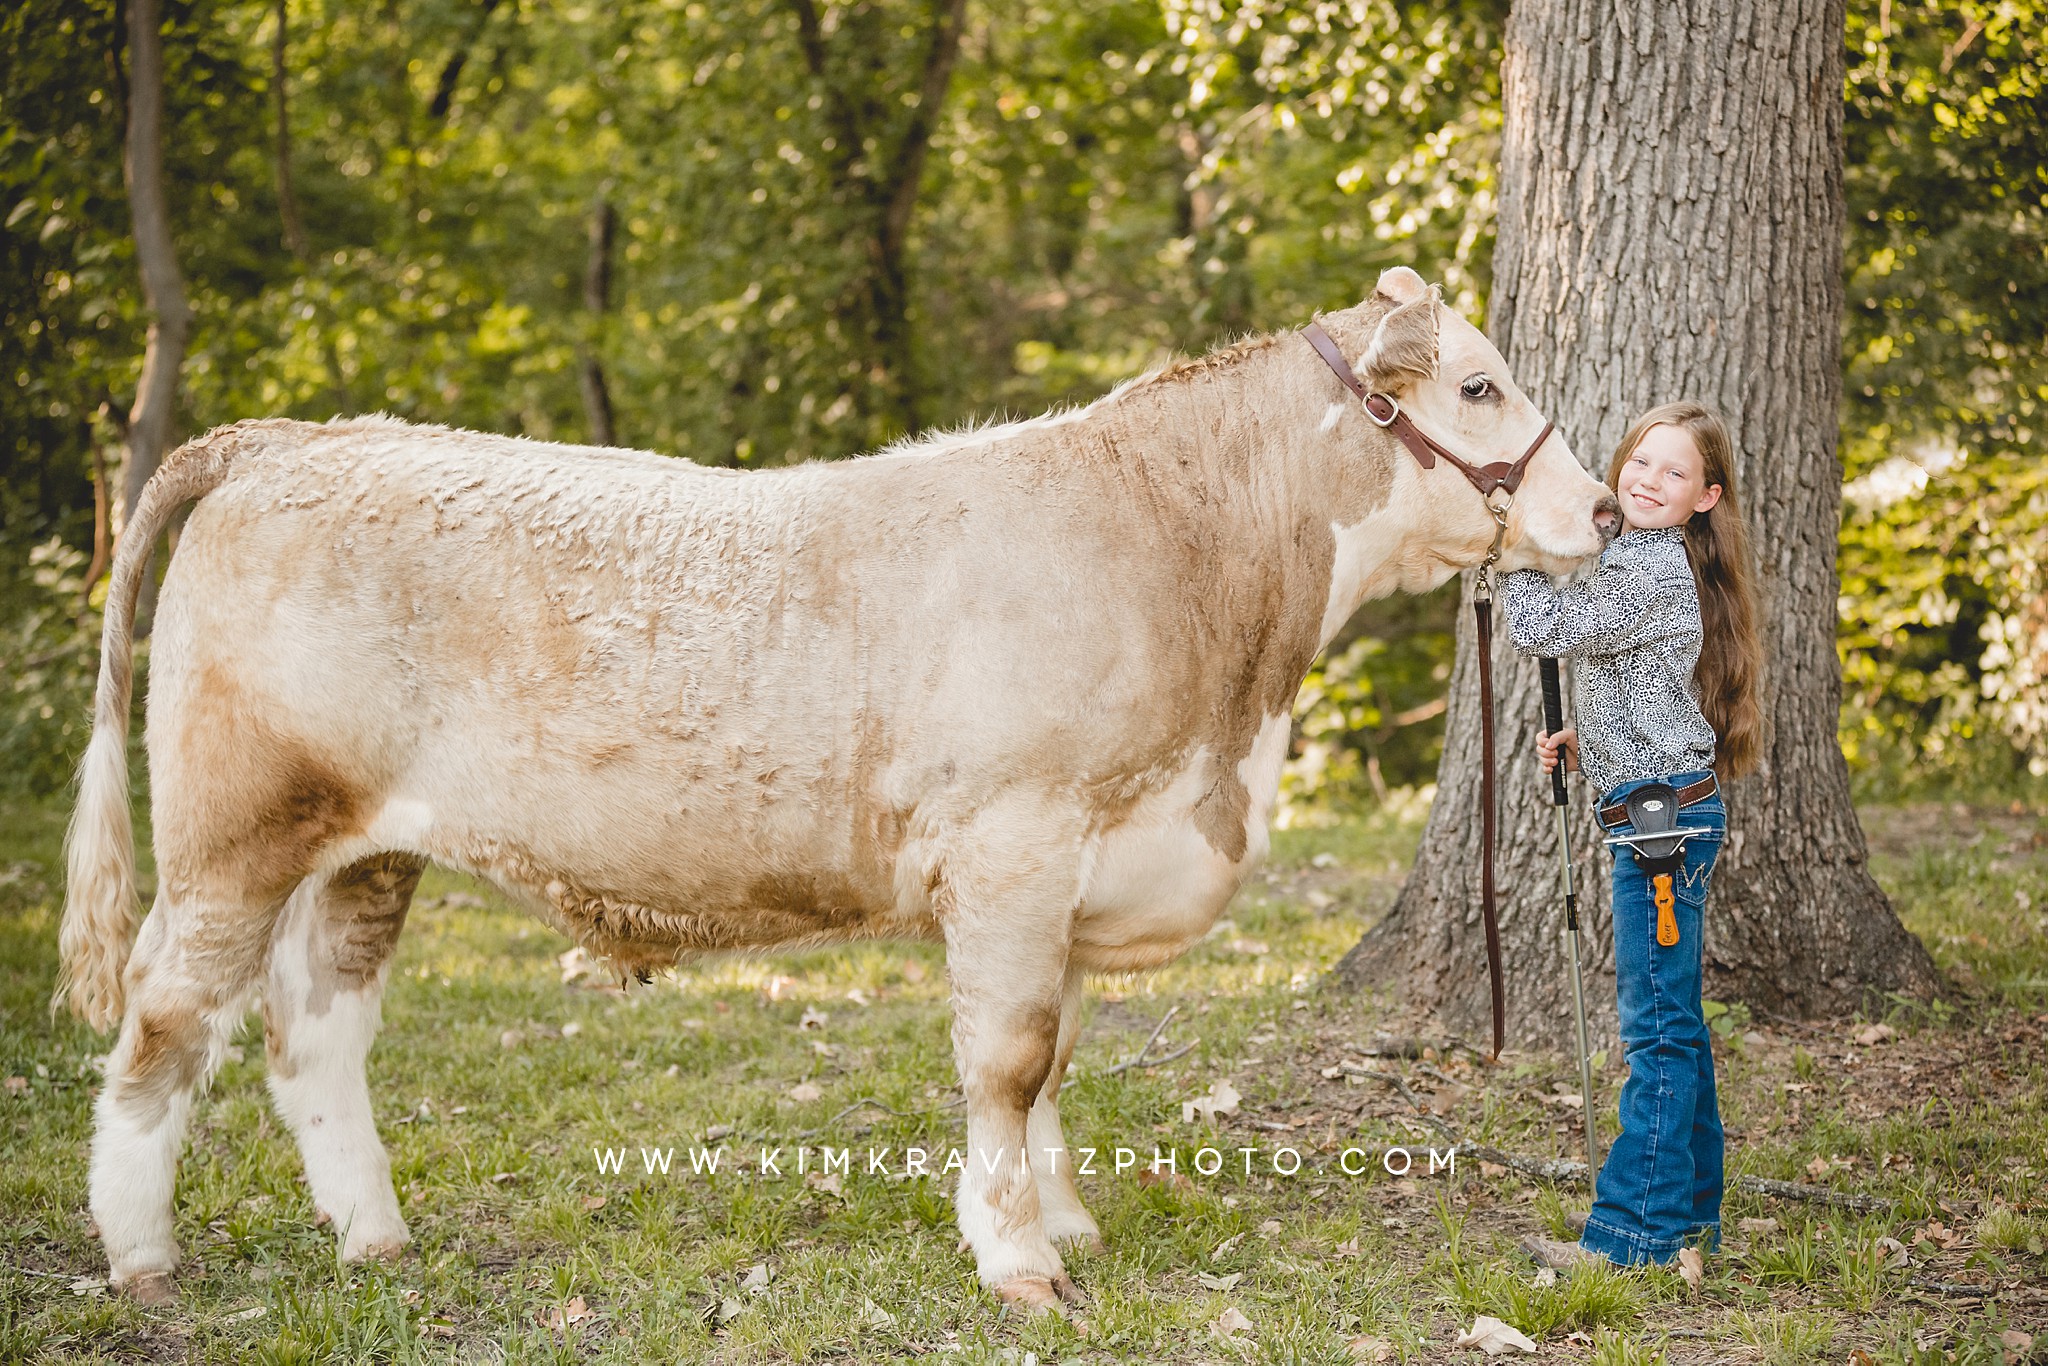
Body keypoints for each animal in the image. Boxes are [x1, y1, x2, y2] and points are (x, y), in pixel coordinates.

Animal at [59, 264, 1613, 1302]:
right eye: (1479, 385)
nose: (1598, 507)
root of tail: (297, 438)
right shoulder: (1011, 839)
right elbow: (1008, 1057)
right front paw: (1020, 1263)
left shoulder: (1074, 863)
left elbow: (1056, 1052)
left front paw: (1067, 1221)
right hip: (234, 828)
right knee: (163, 1019)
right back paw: (141, 1257)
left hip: (367, 844)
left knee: (315, 1030)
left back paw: (376, 1235)